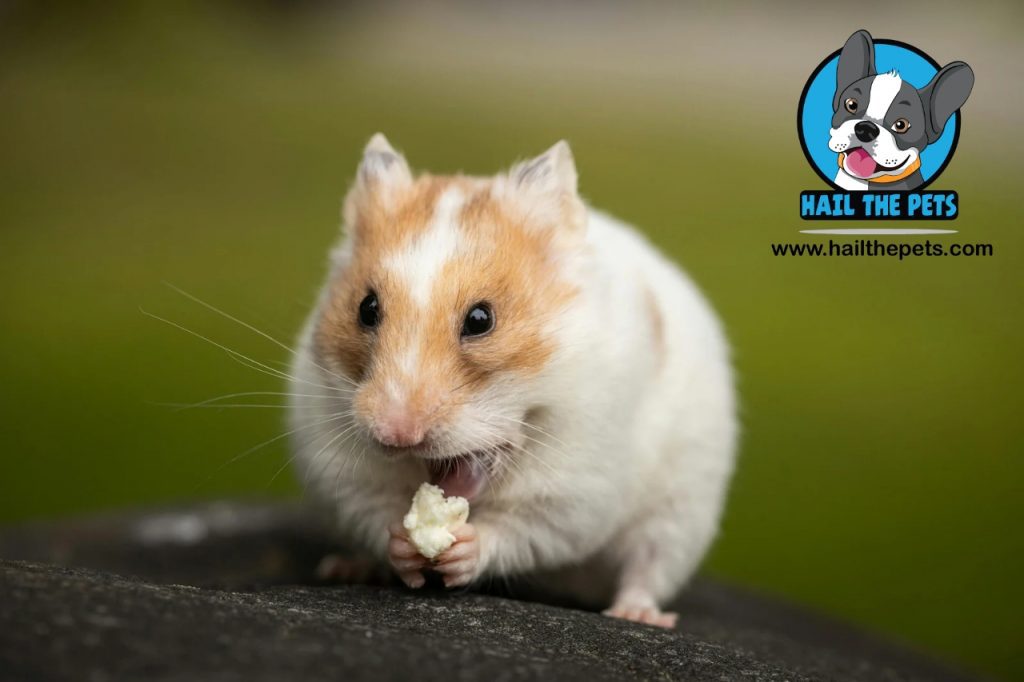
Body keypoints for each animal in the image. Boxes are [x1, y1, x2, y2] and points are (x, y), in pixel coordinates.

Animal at [288, 133, 737, 627]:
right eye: (366, 308)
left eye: (481, 319)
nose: (397, 434)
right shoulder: (343, 473)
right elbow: (377, 513)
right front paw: (405, 545)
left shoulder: (573, 492)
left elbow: (519, 531)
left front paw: (460, 547)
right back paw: (346, 567)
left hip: (680, 512)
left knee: (648, 567)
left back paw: (637, 614)